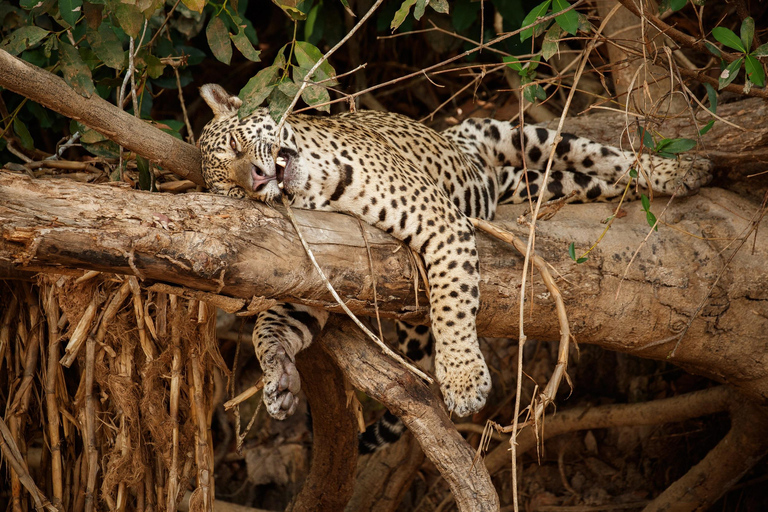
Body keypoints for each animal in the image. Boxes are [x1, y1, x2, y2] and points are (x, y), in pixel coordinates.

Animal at [198, 83, 712, 444]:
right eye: (233, 192)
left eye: (238, 146)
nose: (257, 178)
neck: (317, 188)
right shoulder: (323, 270)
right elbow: (268, 329)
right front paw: (279, 379)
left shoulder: (438, 221)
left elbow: (451, 300)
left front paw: (464, 381)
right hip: (540, 183)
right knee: (582, 181)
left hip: (513, 132)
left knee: (604, 155)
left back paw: (683, 170)